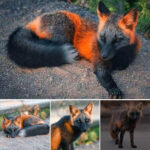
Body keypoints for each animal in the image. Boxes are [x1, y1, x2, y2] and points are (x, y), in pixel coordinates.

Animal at [6, 1, 141, 99]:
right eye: (102, 38)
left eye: (117, 40)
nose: (103, 55)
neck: (119, 56)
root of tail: (35, 20)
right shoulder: (99, 64)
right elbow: (105, 77)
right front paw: (114, 89)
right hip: (64, 33)